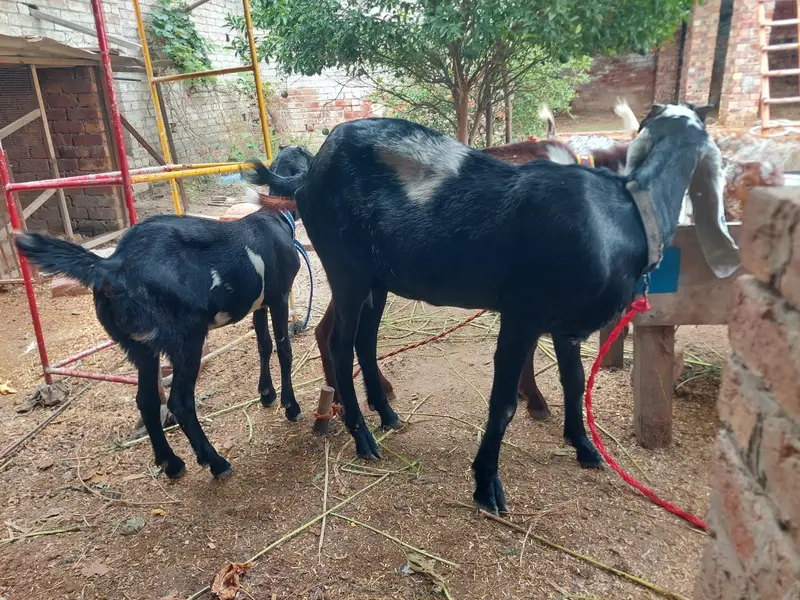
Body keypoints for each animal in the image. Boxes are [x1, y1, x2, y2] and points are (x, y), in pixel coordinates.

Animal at [15, 176, 306, 480]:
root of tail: (113, 266)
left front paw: (267, 394)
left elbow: (264, 345)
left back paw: (171, 463)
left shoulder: (259, 304)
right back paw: (215, 462)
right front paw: (291, 406)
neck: (275, 217)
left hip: (140, 346)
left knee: (147, 400)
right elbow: (284, 350)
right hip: (186, 339)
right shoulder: (279, 296)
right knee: (180, 401)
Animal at [247, 103, 739, 514]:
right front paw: (487, 485)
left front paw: (584, 447)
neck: (621, 213)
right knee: (341, 341)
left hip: (377, 280)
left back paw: (385, 415)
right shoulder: (522, 314)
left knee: (364, 342)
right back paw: (363, 437)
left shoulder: (566, 325)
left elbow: (574, 381)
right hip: (346, 271)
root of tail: (309, 174)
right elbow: (502, 403)